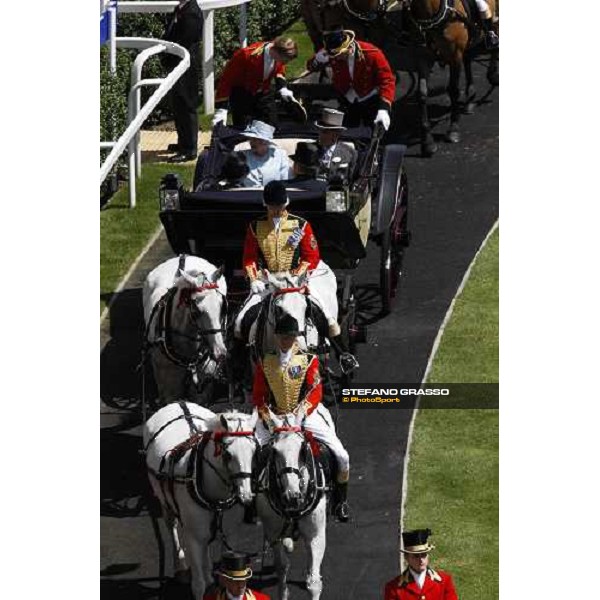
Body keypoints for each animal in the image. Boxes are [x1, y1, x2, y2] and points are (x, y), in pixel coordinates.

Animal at [143, 255, 227, 406]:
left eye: (222, 305)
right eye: (196, 310)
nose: (220, 353)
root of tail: (183, 256)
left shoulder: (202, 388)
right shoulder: (169, 389)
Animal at [145, 404, 260, 600]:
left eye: (254, 452)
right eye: (228, 454)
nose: (246, 497)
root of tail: (177, 403)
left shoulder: (230, 536)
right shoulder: (193, 538)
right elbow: (197, 585)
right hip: (164, 500)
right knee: (171, 526)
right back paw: (180, 565)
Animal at [254, 412, 328, 600]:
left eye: (302, 449)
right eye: (274, 451)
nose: (292, 496)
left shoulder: (316, 535)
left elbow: (314, 582)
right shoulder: (274, 533)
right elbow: (282, 568)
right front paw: (284, 592)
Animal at [302, 0, 500, 157]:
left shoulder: (454, 54)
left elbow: (453, 91)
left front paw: (453, 129)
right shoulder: (422, 58)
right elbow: (422, 95)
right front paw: (427, 141)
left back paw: (492, 73)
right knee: (469, 56)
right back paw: (471, 98)